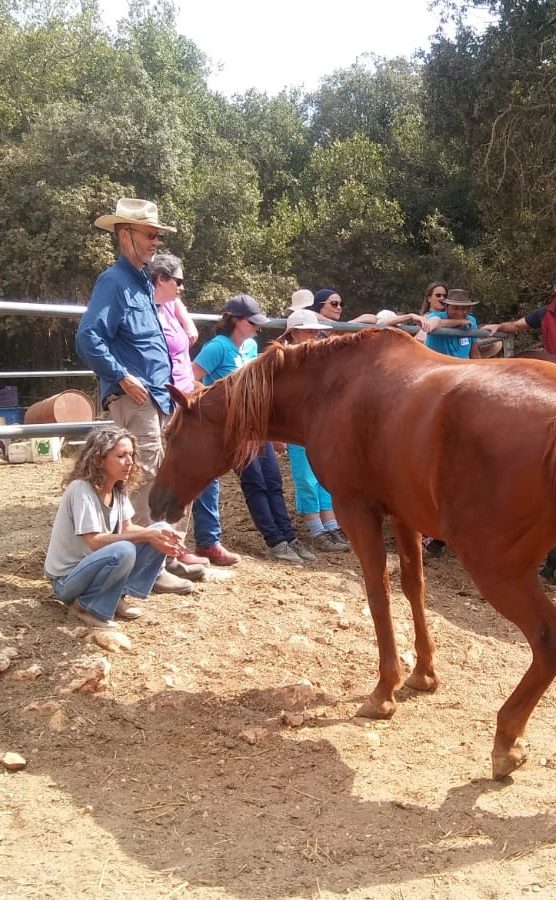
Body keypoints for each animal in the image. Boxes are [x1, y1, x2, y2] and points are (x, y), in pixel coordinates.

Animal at [151, 330, 556, 780]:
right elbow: (413, 588)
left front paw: (384, 692)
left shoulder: (356, 510)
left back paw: (507, 739)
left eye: (172, 437)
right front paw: (423, 674)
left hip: (496, 568)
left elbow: (378, 593)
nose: (155, 502)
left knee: (546, 640)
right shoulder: (403, 515)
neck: (331, 388)